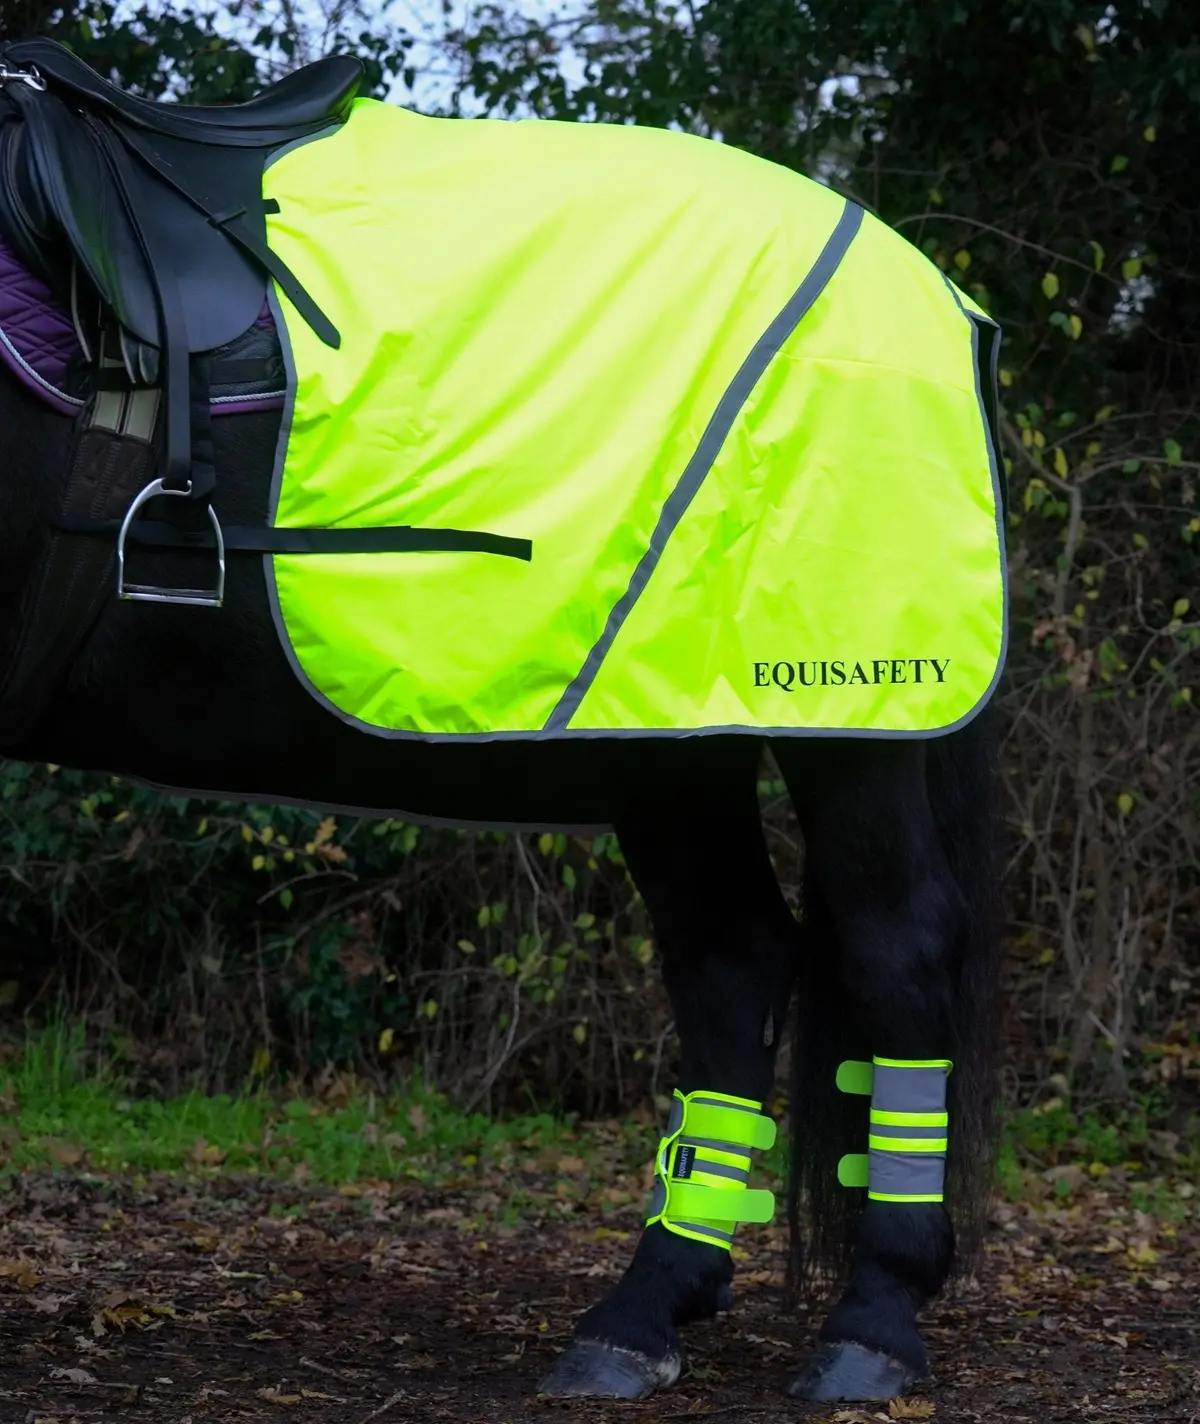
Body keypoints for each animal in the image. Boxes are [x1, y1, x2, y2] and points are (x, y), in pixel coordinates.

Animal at [0, 40, 1006, 1403]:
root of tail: (941, 297)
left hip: (855, 720)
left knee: (895, 951)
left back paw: (873, 1321)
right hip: (670, 736)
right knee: (734, 960)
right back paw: (643, 1310)